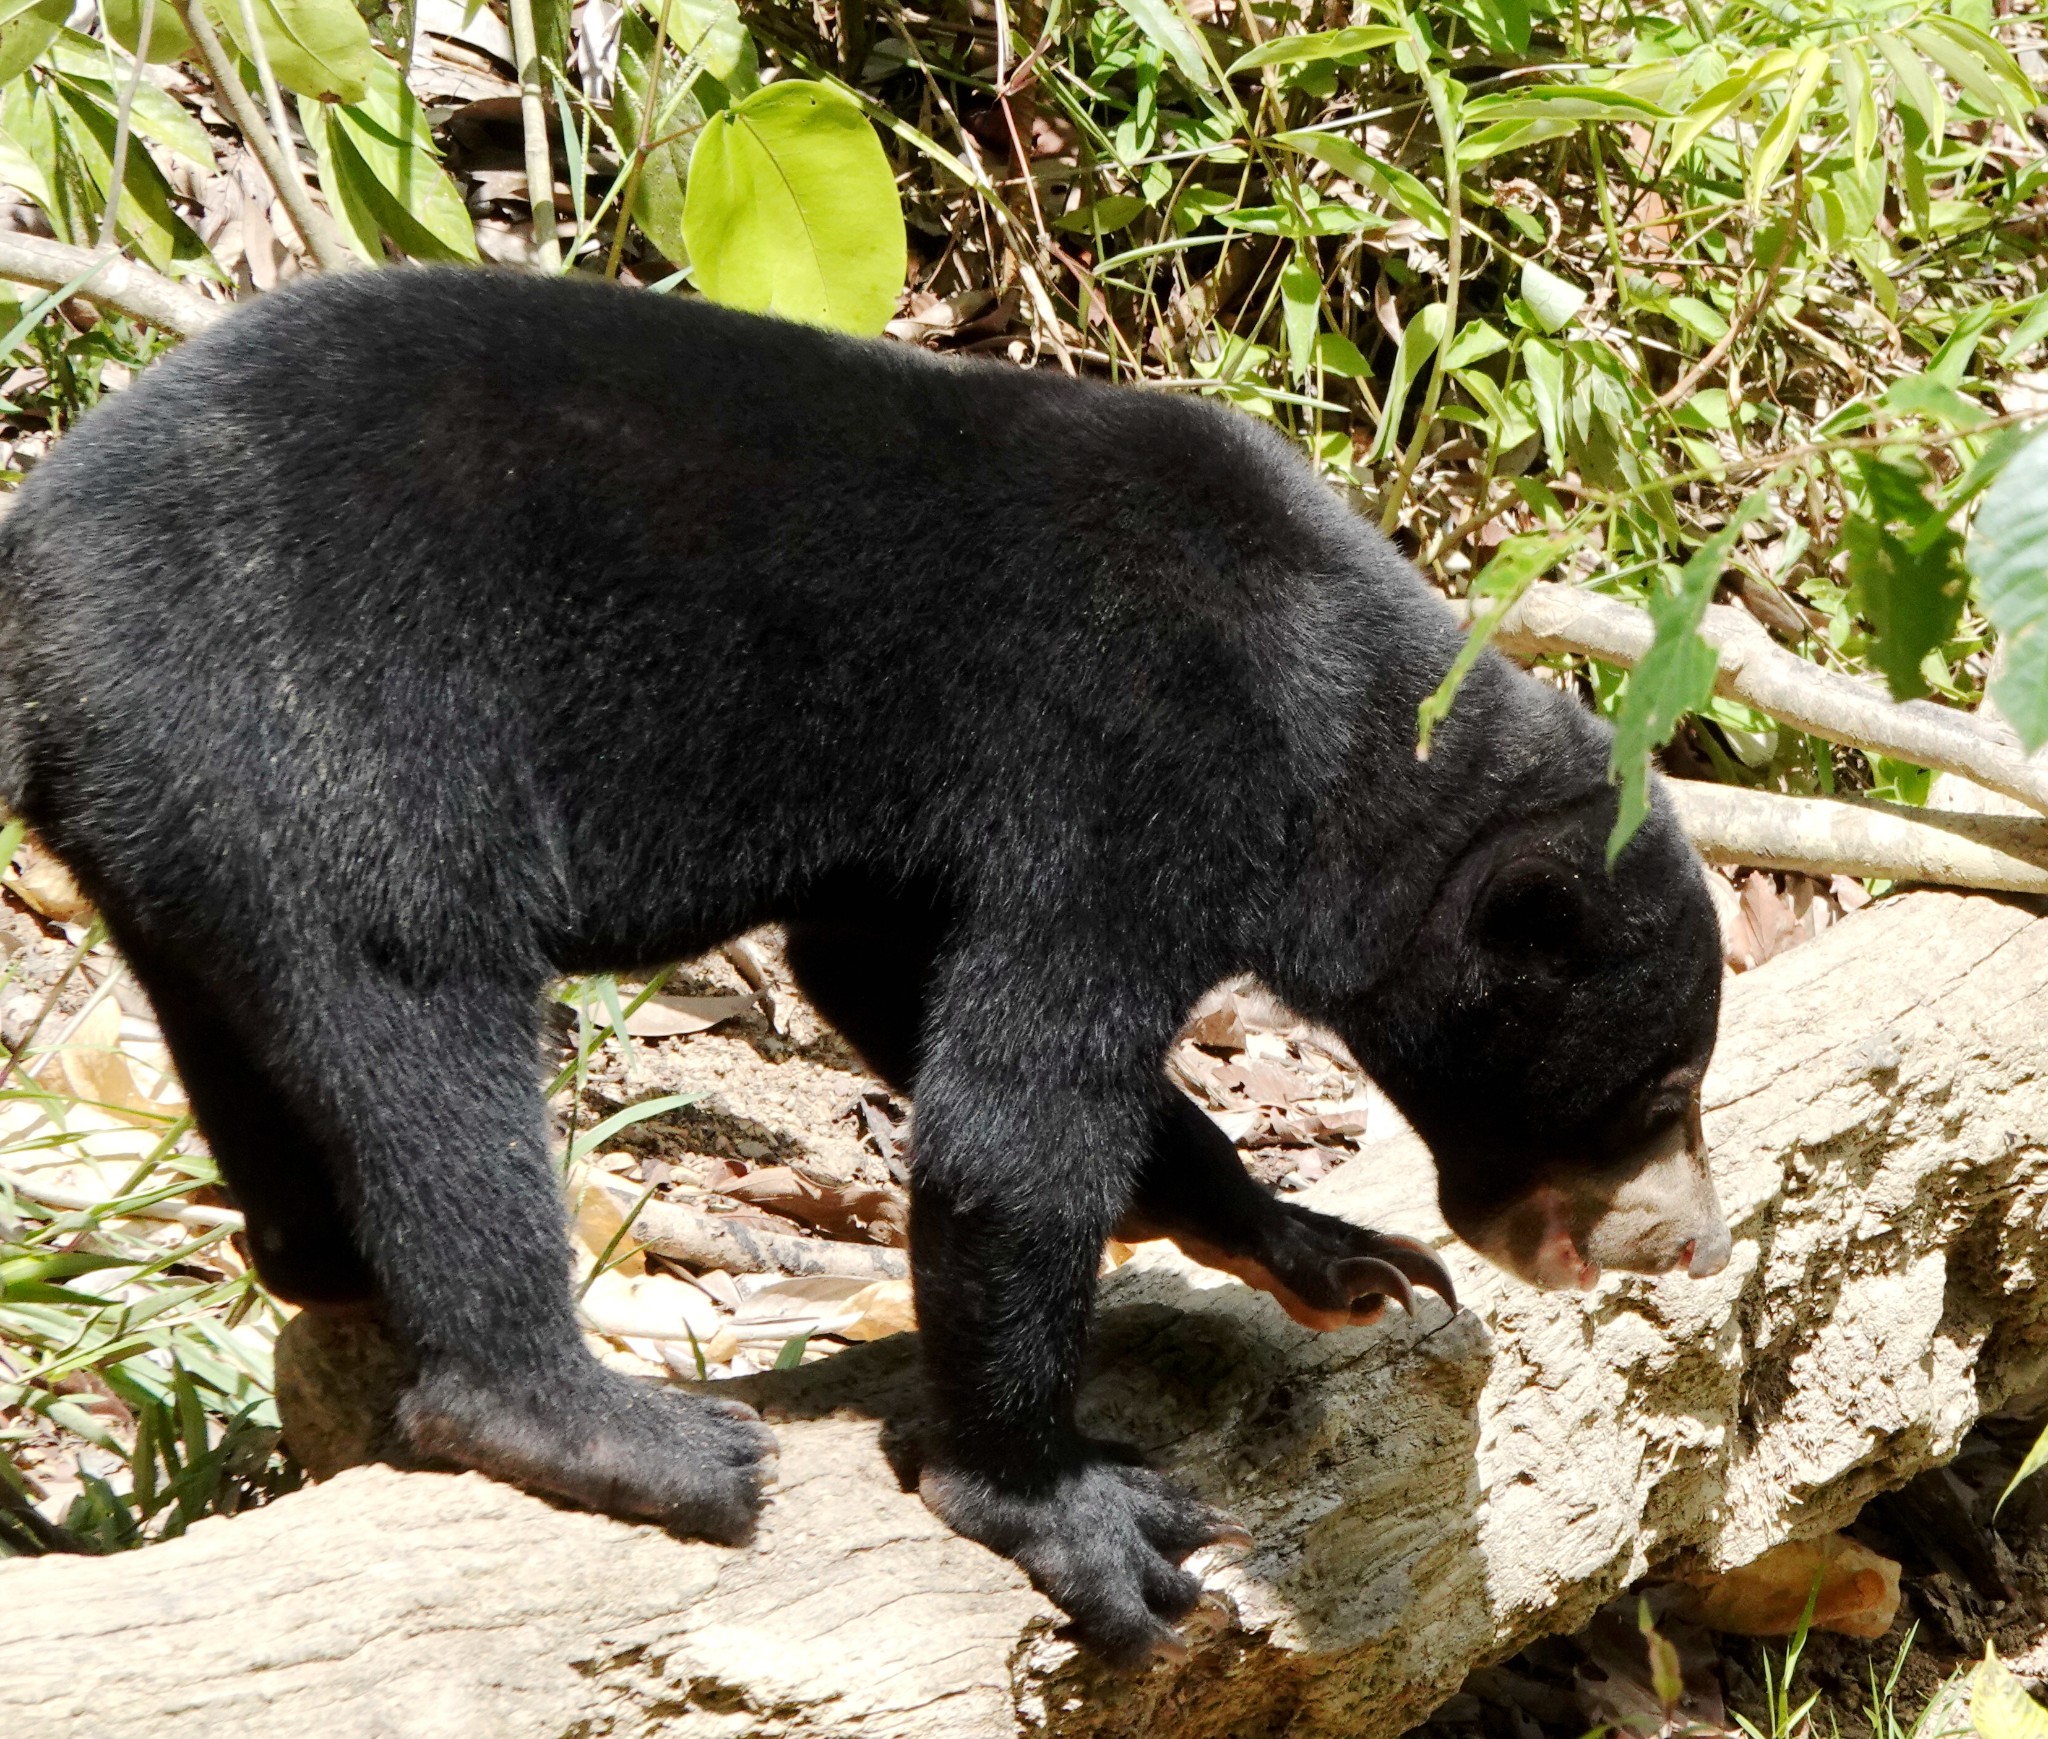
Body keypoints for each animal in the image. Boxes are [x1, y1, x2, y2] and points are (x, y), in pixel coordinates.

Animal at [0, 268, 1728, 1655]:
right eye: (1665, 1089)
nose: (1694, 1242)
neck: (1349, 721)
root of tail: (37, 604)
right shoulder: (1137, 755)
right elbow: (1015, 1117)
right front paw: (1085, 1510)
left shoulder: (941, 848)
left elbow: (877, 974)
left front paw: (1331, 1251)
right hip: (322, 723)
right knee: (421, 1021)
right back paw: (626, 1427)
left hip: (180, 809)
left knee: (240, 1025)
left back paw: (318, 1257)